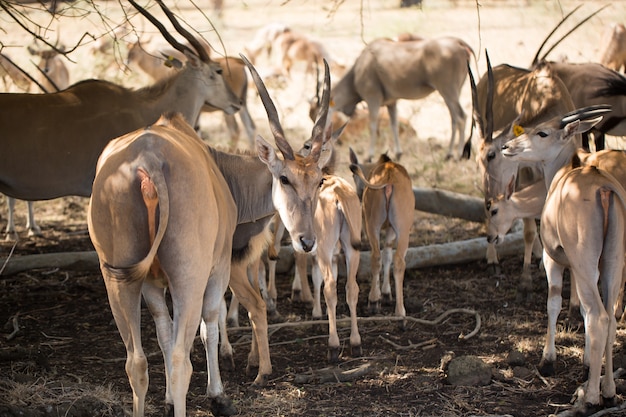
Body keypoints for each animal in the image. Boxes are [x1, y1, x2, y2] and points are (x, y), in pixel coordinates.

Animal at [90, 110, 239, 416]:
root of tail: (149, 158)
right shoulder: (219, 268)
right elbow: (210, 324)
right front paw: (218, 396)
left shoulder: (151, 284)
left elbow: (163, 332)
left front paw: (169, 399)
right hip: (189, 275)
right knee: (182, 359)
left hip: (118, 276)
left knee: (135, 360)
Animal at [125, 39, 256, 150]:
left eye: (219, 71)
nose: (127, 62)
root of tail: (239, 64)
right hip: (242, 106)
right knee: (250, 128)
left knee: (235, 130)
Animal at [330, 35, 470, 162]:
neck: (356, 72)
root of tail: (459, 44)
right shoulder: (391, 103)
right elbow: (394, 125)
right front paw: (398, 154)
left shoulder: (372, 99)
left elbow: (373, 125)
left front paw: (369, 156)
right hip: (453, 93)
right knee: (454, 119)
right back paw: (449, 154)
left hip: (448, 91)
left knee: (461, 117)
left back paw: (457, 155)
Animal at [346, 149, 414, 316]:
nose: (359, 192)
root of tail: (389, 182)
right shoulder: (390, 229)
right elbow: (387, 254)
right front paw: (386, 293)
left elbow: (386, 254)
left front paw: (384, 294)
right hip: (402, 228)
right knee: (397, 260)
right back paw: (399, 310)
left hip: (373, 224)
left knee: (377, 256)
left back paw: (375, 301)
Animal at [498, 105, 620, 416]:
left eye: (542, 132)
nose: (506, 147)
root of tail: (604, 190)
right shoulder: (581, 269)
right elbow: (580, 310)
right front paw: (587, 365)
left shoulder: (553, 259)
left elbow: (554, 302)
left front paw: (548, 361)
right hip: (612, 265)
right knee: (610, 316)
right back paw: (609, 391)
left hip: (585, 265)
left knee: (599, 316)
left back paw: (591, 398)